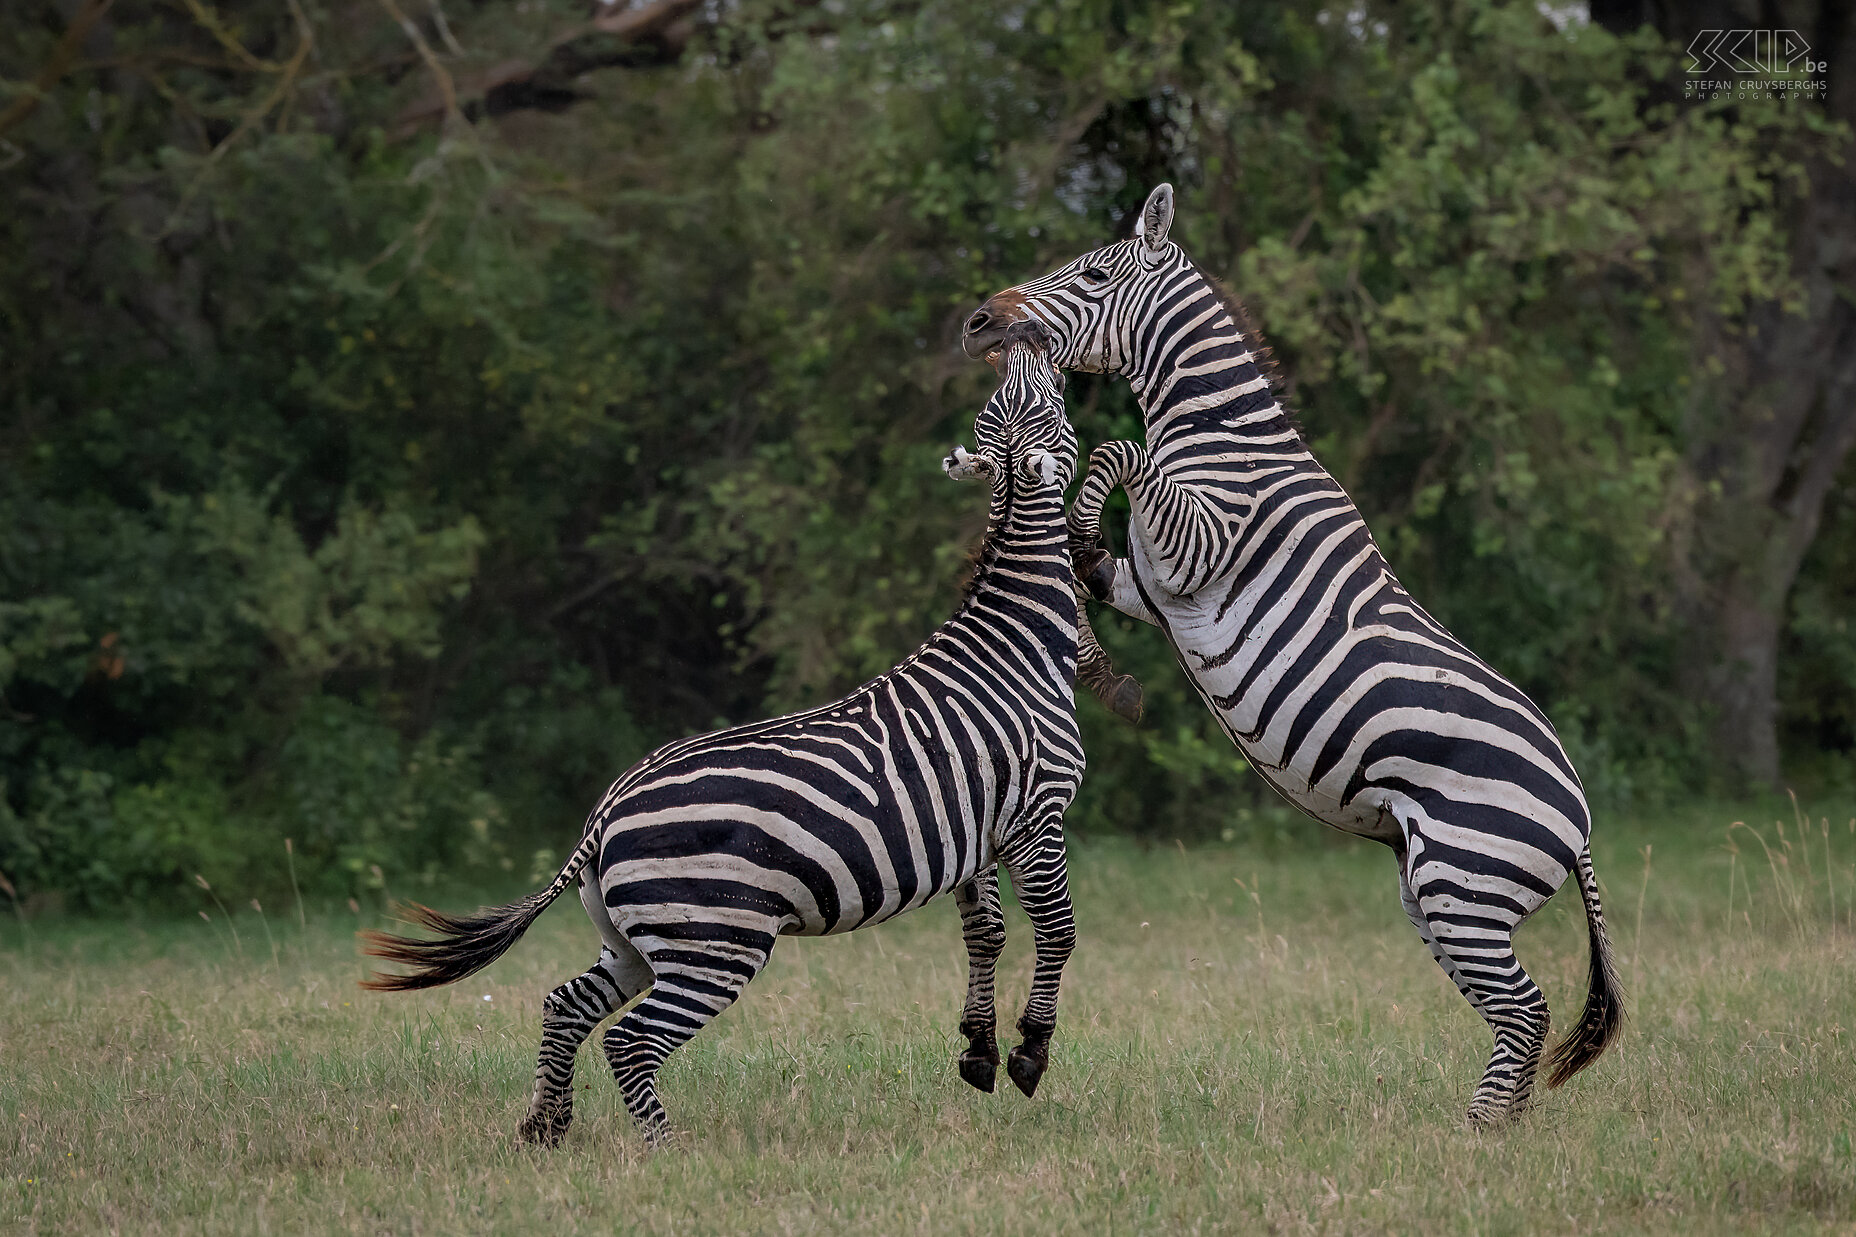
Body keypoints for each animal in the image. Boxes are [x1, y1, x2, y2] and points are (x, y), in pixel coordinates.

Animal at [358, 323, 1083, 1144]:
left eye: (1019, 396)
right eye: (1043, 400)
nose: (1018, 331)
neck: (1013, 643)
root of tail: (604, 810)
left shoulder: (981, 831)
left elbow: (985, 933)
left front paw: (979, 1051)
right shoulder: (1040, 811)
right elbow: (1057, 931)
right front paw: (1028, 1054)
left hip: (638, 938)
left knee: (565, 1005)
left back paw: (546, 1128)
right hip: (715, 940)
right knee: (630, 1039)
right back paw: (670, 1153)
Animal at [957, 185, 1625, 1129]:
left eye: (1089, 273)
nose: (978, 320)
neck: (1222, 437)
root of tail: (1581, 816)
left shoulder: (1199, 545)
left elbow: (1125, 452)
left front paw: (1082, 528)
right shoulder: (1151, 586)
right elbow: (1097, 572)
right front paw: (1101, 655)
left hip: (1463, 880)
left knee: (1527, 1009)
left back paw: (1472, 1138)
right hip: (1440, 894)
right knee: (1513, 1014)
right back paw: (1492, 1132)